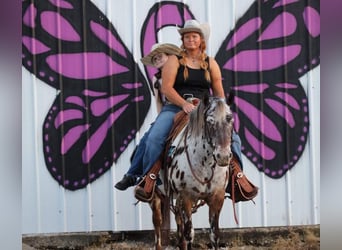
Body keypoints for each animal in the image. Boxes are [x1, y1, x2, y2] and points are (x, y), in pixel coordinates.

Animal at [148, 94, 234, 249]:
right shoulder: (186, 197)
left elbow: (214, 235)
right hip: (156, 196)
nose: (223, 156)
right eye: (210, 121)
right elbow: (189, 234)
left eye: (230, 119)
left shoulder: (217, 197)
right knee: (157, 224)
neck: (205, 164)